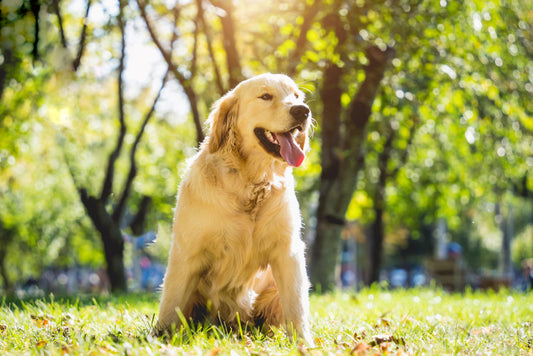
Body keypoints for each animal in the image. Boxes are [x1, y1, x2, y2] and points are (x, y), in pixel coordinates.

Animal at [154, 73, 312, 344]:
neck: (250, 184)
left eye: (296, 96)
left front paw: (304, 344)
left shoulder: (287, 251)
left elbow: (297, 307)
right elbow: (171, 304)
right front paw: (160, 338)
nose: (303, 111)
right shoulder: (188, 252)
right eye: (265, 96)